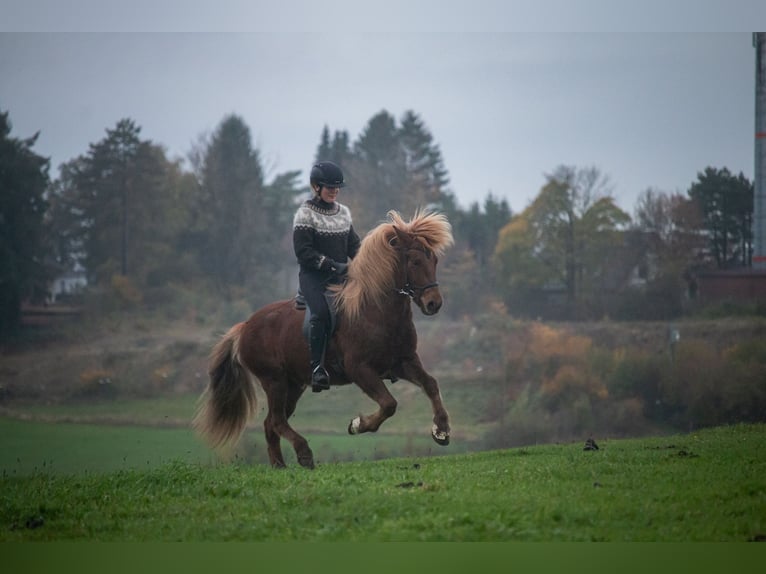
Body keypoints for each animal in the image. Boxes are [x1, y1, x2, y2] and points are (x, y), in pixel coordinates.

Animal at [193, 210, 454, 469]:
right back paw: (304, 453)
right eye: (415, 261)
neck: (376, 311)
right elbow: (389, 404)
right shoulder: (360, 369)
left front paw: (441, 431)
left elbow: (431, 384)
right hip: (273, 380)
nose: (434, 303)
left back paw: (280, 466)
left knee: (271, 423)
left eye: (435, 260)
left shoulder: (403, 362)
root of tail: (245, 327)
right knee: (276, 420)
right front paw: (357, 425)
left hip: (293, 384)